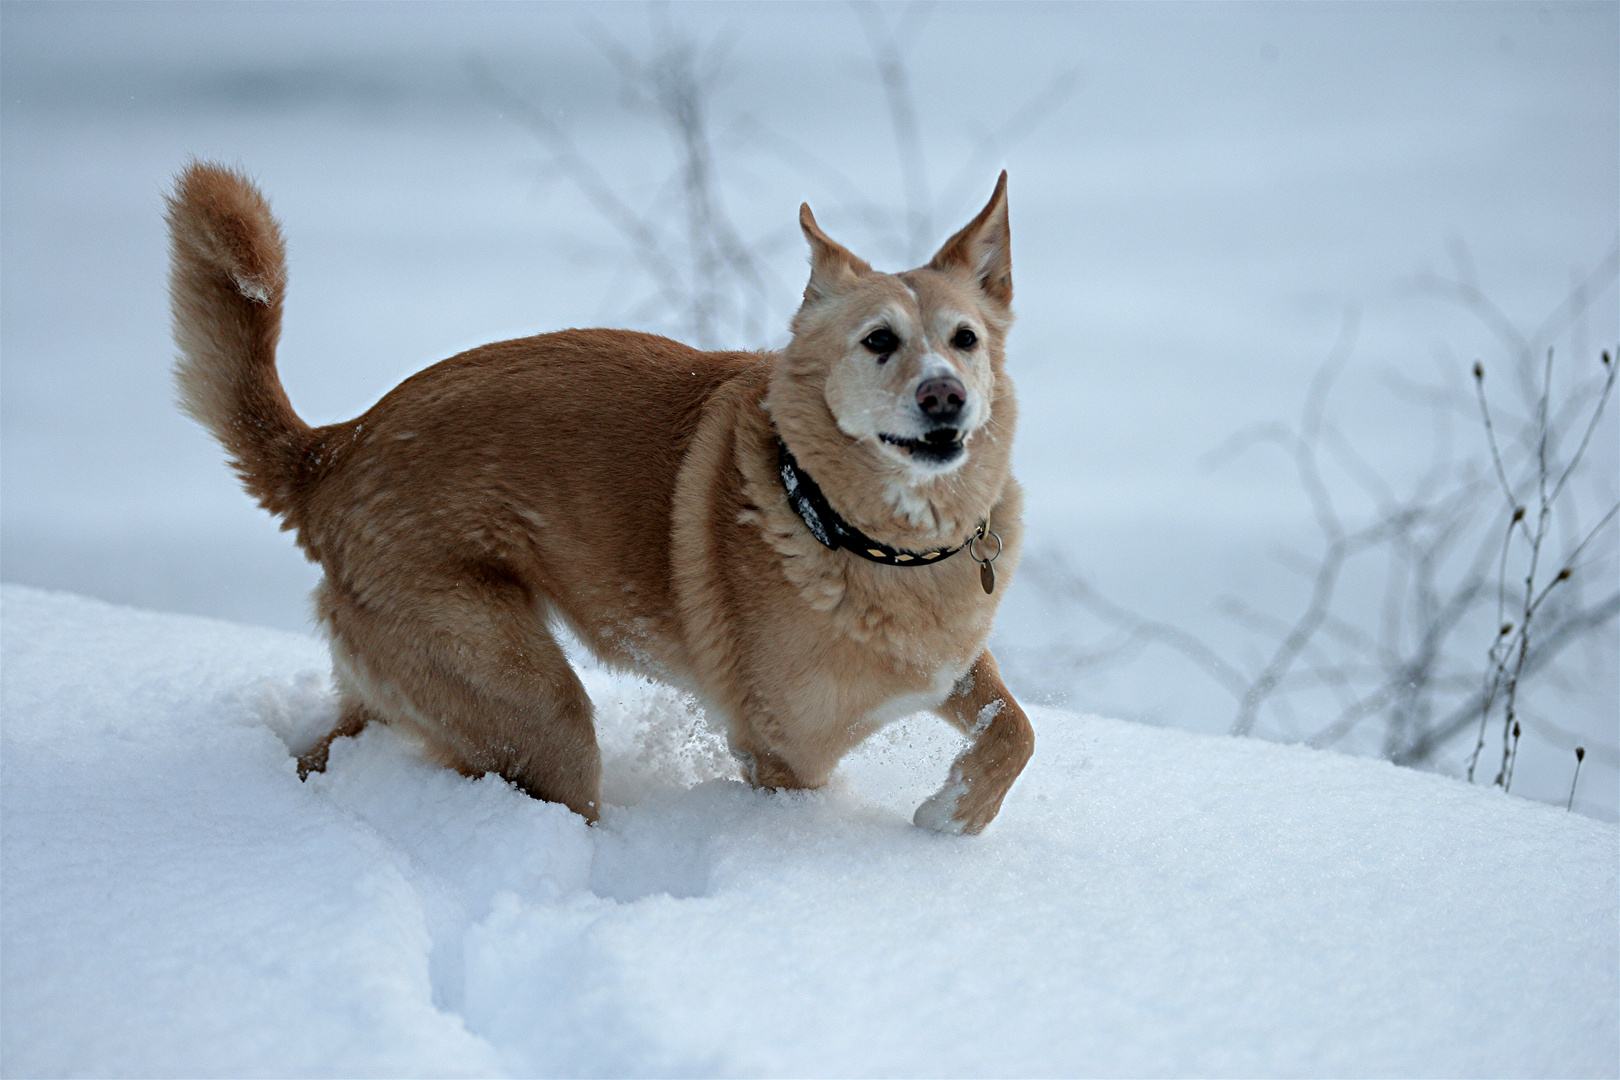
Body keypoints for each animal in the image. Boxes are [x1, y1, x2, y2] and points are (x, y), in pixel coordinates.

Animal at [170, 162, 1030, 835]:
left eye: (965, 339)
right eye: (879, 341)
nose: (946, 398)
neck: (854, 528)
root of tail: (334, 450)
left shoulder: (954, 663)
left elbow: (1014, 731)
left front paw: (957, 815)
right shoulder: (786, 755)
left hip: (411, 681)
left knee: (334, 746)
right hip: (532, 706)